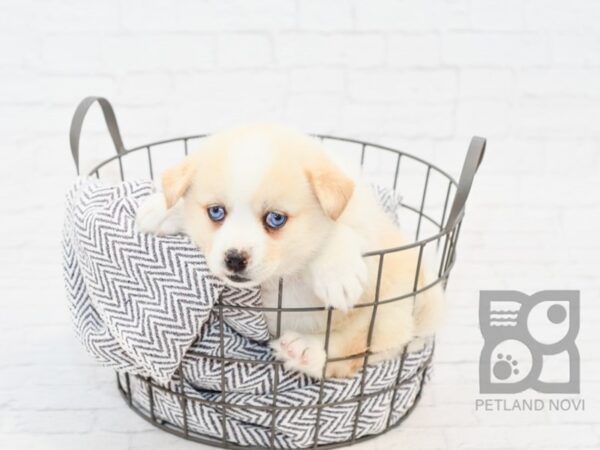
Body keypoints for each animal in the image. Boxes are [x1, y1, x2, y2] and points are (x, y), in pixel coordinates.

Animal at [137, 124, 446, 380]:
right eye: (216, 212)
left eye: (276, 219)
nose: (235, 258)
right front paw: (160, 209)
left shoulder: (368, 232)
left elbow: (338, 233)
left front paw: (337, 274)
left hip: (386, 310)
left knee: (354, 348)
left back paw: (307, 349)